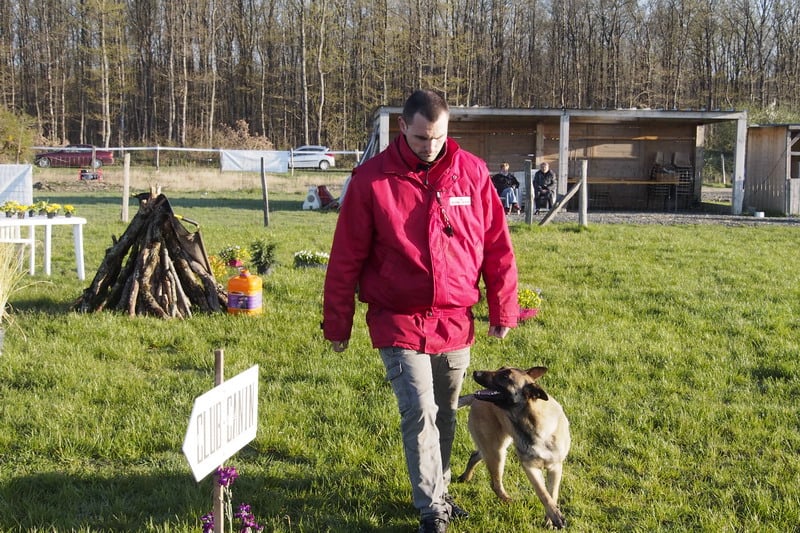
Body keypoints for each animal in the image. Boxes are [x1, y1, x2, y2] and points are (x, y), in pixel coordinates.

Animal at [457, 366, 571, 528]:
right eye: (501, 369)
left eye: (505, 376)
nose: (475, 373)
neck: (534, 422)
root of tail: (474, 398)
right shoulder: (530, 467)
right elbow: (543, 493)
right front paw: (555, 516)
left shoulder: (555, 467)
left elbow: (552, 493)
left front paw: (550, 519)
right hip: (496, 452)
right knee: (495, 483)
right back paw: (508, 500)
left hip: (495, 448)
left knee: (476, 455)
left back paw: (466, 477)